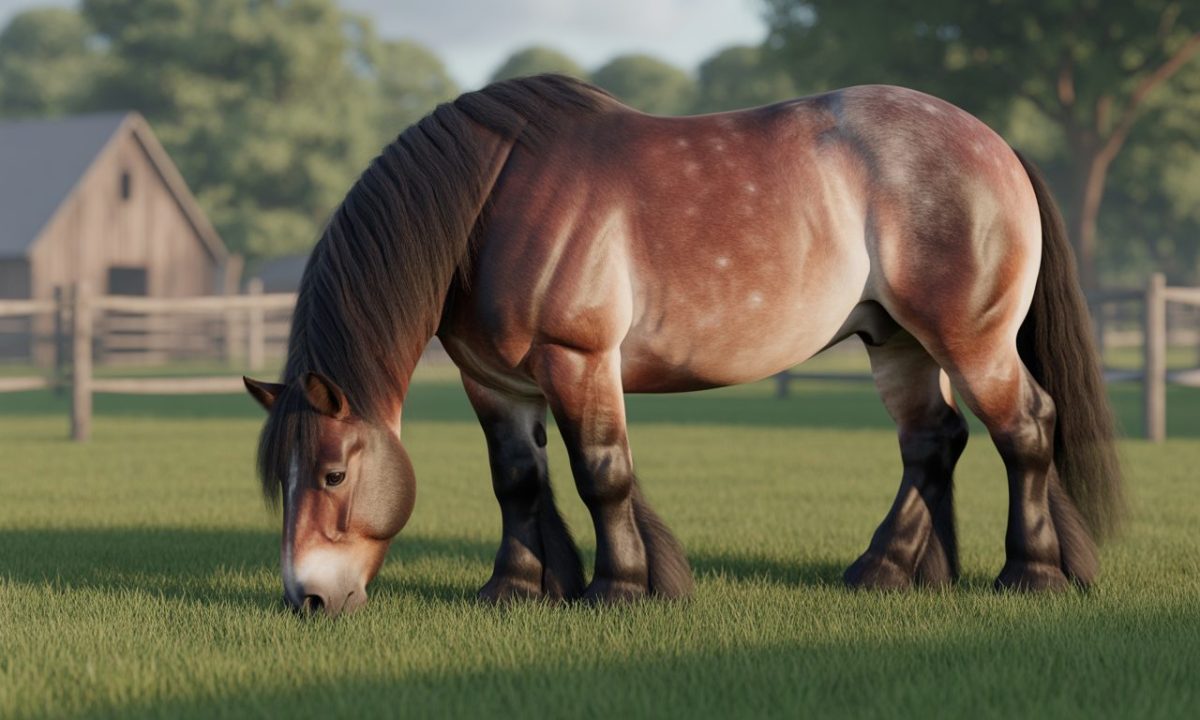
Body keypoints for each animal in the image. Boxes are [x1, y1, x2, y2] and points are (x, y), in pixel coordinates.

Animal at [243, 75, 1123, 616]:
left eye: (332, 473)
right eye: (279, 477)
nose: (307, 598)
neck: (491, 205)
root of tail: (995, 145)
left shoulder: (578, 360)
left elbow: (601, 474)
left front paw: (620, 587)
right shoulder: (494, 383)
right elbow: (518, 482)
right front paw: (518, 587)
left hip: (971, 339)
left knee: (1025, 430)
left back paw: (1030, 574)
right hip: (897, 340)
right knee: (932, 443)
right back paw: (888, 572)